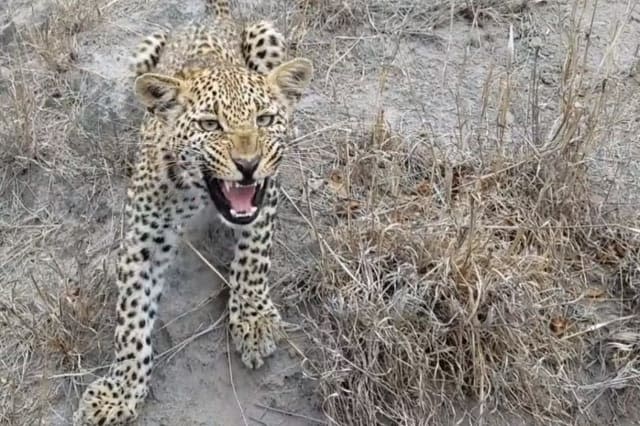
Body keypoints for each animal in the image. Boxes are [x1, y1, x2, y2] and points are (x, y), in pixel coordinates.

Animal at [72, 1, 312, 424]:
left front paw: (252, 319)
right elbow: (131, 318)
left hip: (266, 34)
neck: (200, 195)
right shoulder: (142, 239)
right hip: (143, 55)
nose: (248, 165)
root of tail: (211, 14)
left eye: (265, 120)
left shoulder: (265, 193)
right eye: (211, 124)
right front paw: (121, 391)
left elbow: (253, 258)